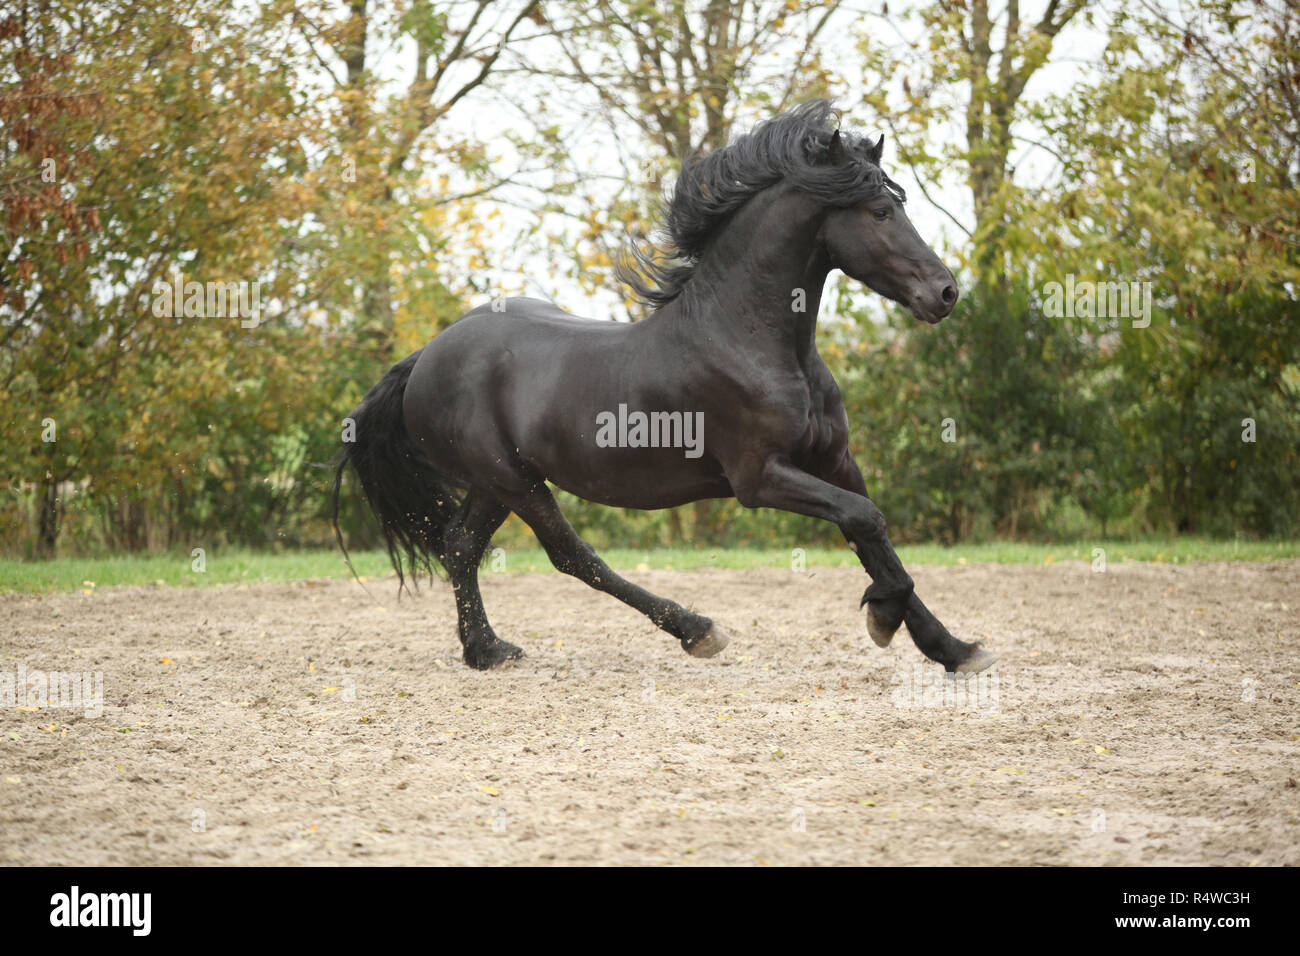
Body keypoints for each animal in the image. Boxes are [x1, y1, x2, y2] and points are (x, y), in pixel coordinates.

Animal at [332, 99, 997, 675]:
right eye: (881, 211)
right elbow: (867, 521)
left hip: (493, 484)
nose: (945, 292)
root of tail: (426, 356)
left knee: (459, 545)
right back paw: (697, 630)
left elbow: (873, 534)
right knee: (571, 556)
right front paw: (882, 617)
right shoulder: (759, 478)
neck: (751, 340)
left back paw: (488, 651)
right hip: (512, 480)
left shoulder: (834, 462)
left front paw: (955, 650)